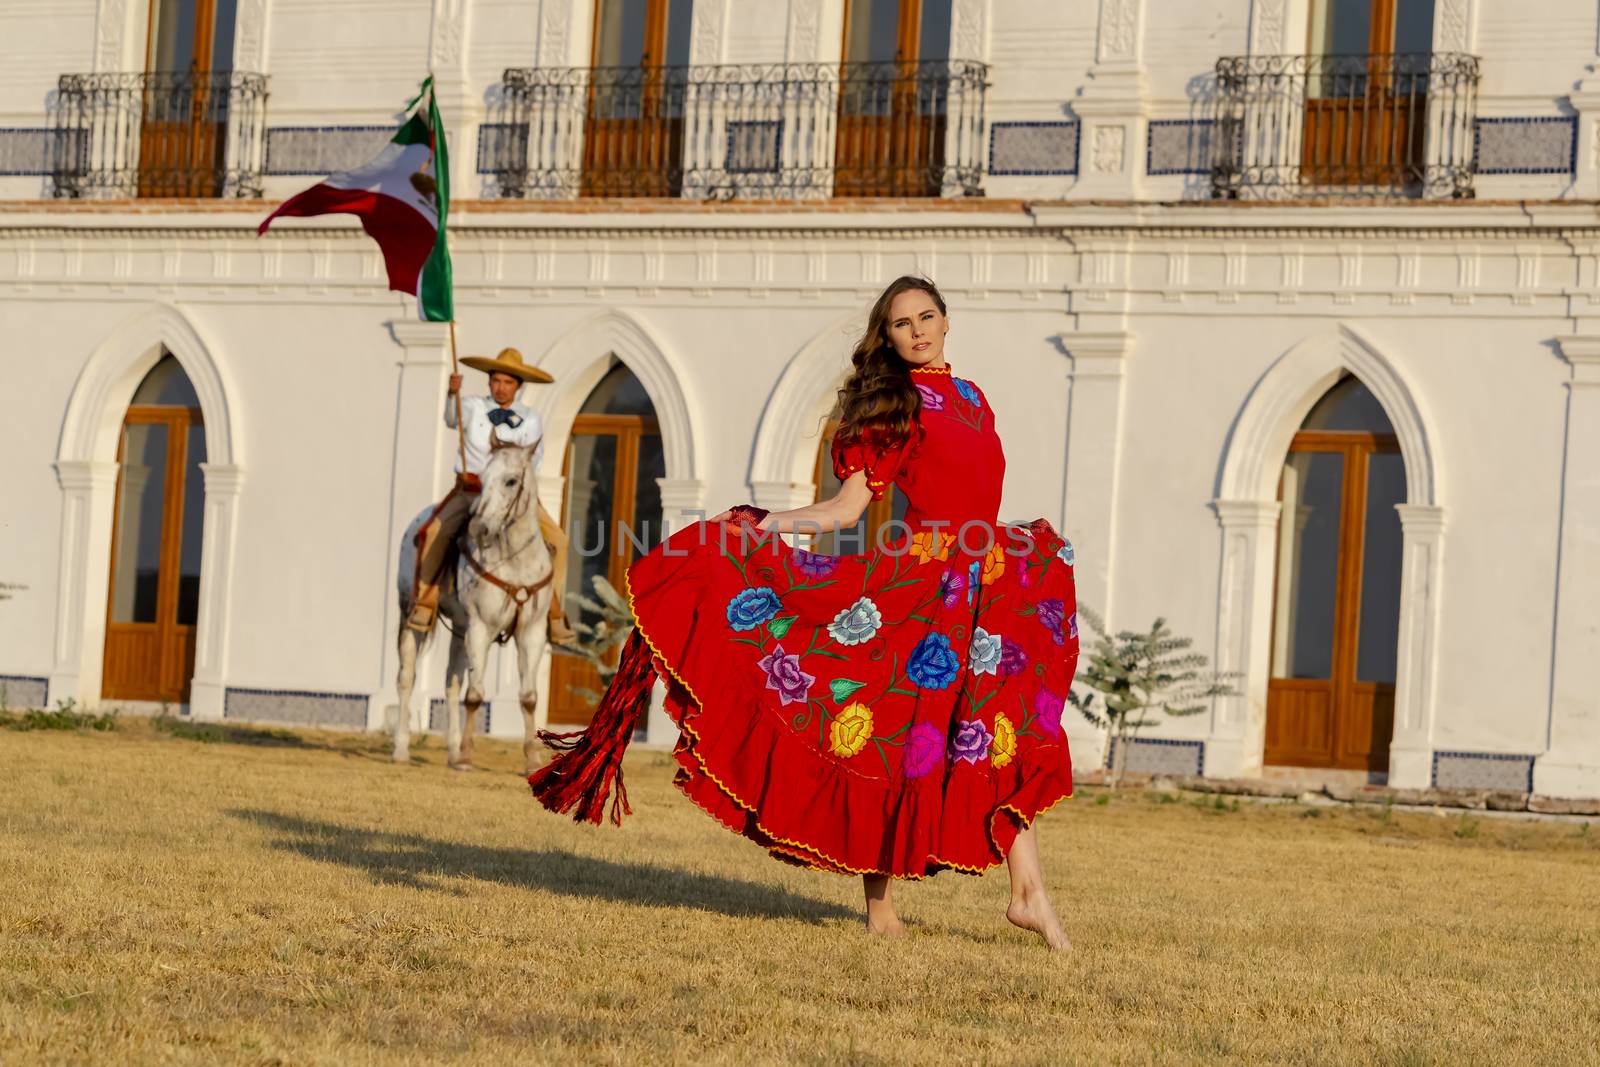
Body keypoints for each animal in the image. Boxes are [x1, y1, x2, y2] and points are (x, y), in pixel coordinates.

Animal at [393, 444, 556, 777]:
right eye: (483, 478)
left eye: (511, 480)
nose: (480, 528)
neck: (515, 562)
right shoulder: (481, 628)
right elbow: (475, 694)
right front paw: (468, 755)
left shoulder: (531, 632)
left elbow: (528, 698)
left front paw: (532, 760)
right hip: (410, 616)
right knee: (406, 678)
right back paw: (402, 749)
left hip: (460, 628)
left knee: (451, 684)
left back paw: (452, 752)